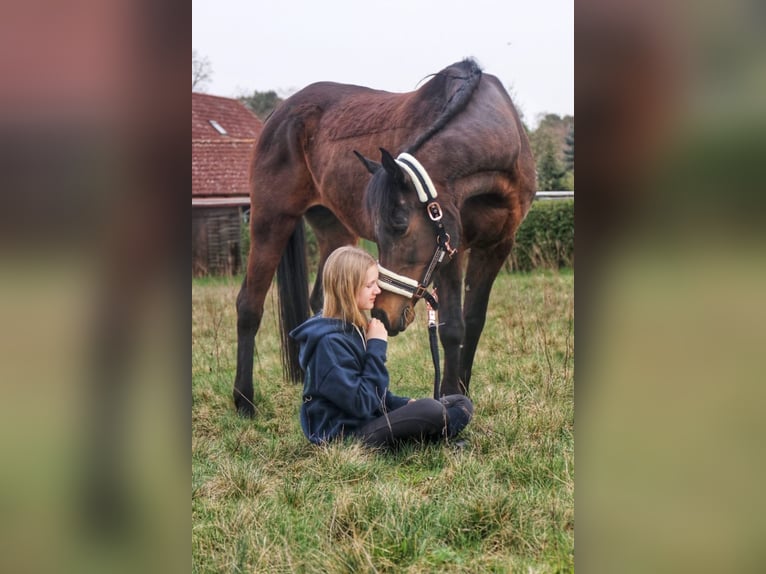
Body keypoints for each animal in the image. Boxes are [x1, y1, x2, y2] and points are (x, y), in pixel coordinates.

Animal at [234, 58, 536, 416]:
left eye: (399, 223)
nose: (382, 314)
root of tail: (278, 114)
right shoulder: (453, 249)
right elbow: (452, 328)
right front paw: (451, 399)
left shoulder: (496, 247)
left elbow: (473, 322)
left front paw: (463, 392)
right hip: (271, 220)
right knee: (249, 305)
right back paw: (244, 401)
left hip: (335, 231)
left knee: (323, 302)